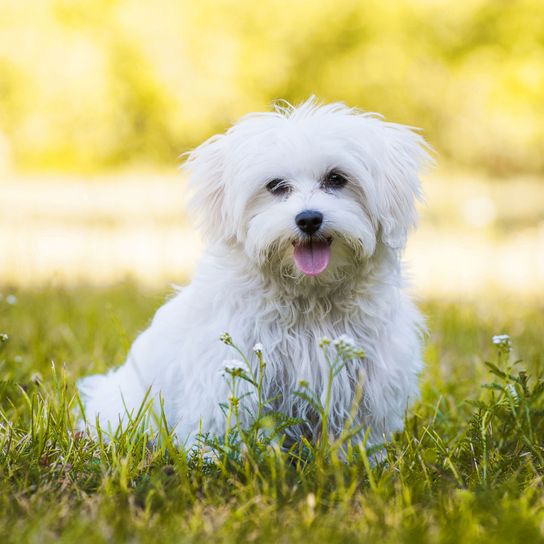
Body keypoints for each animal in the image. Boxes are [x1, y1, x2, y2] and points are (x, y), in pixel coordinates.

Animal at [78, 98, 432, 450]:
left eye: (336, 179)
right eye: (275, 186)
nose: (309, 219)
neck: (310, 295)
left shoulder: (369, 377)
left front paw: (355, 455)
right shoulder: (229, 368)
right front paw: (215, 455)